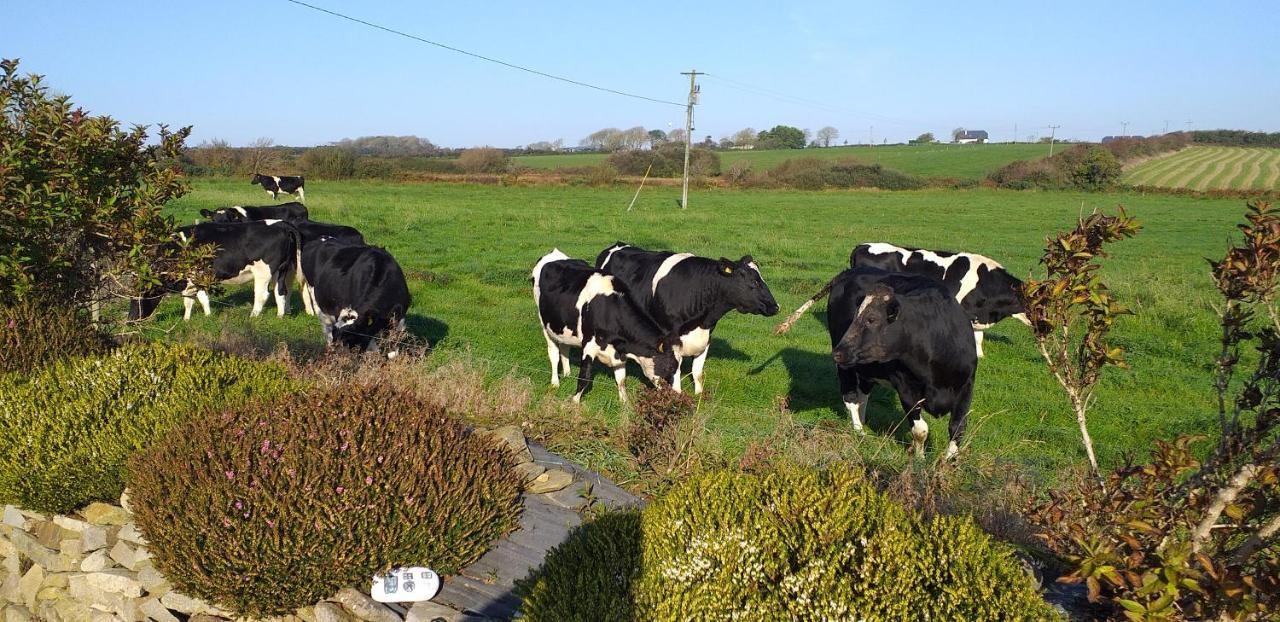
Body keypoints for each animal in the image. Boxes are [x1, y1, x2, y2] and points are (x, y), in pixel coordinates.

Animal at [129, 221, 299, 321]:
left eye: (138, 297)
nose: (130, 320)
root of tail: (282, 225)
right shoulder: (191, 281)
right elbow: (189, 300)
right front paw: (186, 319)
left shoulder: (197, 276)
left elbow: (201, 298)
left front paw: (208, 316)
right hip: (281, 270)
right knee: (281, 292)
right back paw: (280, 316)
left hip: (263, 272)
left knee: (262, 295)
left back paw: (253, 316)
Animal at [532, 249, 680, 404]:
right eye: (670, 367)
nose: (677, 396)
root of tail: (554, 254)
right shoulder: (589, 344)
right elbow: (584, 377)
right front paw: (574, 401)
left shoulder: (619, 352)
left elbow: (621, 380)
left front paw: (625, 402)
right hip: (546, 326)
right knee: (554, 354)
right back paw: (555, 382)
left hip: (564, 327)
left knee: (565, 347)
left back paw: (567, 373)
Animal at [591, 243, 778, 394]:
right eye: (754, 282)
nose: (775, 307)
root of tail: (616, 246)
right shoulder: (670, 340)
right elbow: (675, 372)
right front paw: (677, 398)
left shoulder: (706, 337)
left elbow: (697, 372)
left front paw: (699, 397)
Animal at [824, 264, 972, 458]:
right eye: (855, 316)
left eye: (871, 319)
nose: (838, 353)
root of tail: (850, 271)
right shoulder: (906, 389)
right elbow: (920, 429)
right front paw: (919, 459)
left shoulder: (966, 387)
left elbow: (957, 428)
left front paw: (948, 461)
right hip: (846, 366)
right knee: (850, 397)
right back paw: (859, 431)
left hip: (865, 368)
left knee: (863, 395)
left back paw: (862, 422)